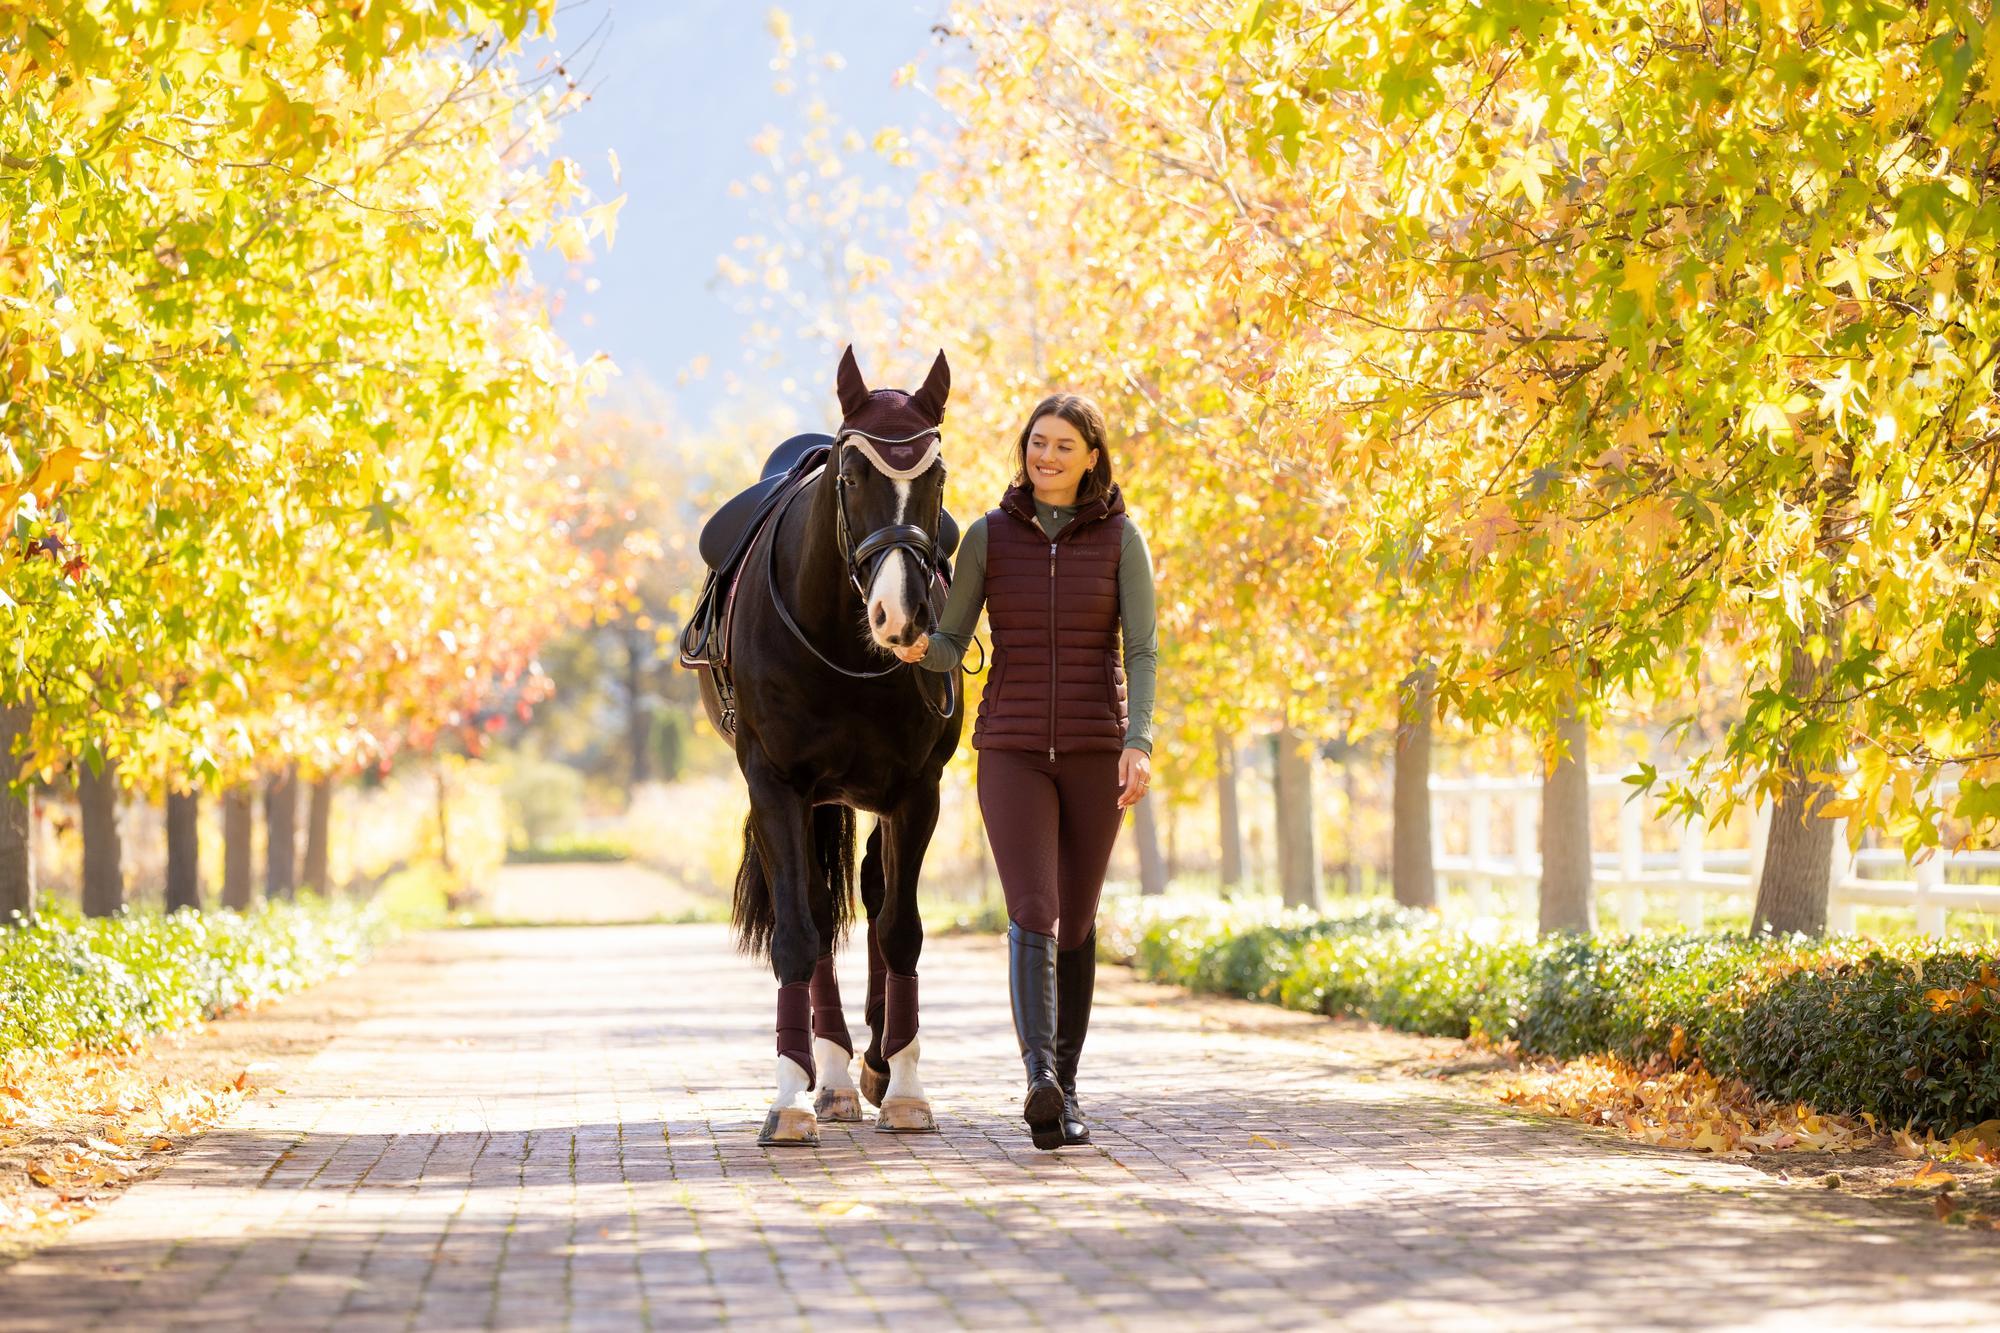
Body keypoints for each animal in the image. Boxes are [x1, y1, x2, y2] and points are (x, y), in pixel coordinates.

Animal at [706, 346, 961, 1145]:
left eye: (937, 478)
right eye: (852, 478)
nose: (902, 615)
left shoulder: (917, 788)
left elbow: (901, 927)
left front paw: (905, 1084)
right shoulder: (777, 782)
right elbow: (799, 931)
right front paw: (791, 1094)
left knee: (875, 895)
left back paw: (872, 1063)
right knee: (819, 912)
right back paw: (837, 1075)